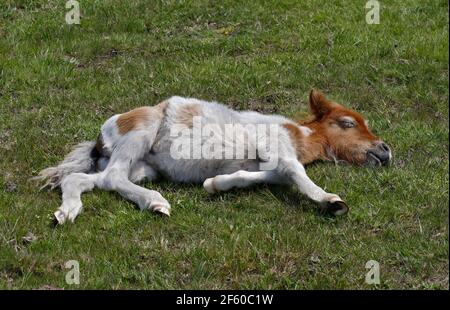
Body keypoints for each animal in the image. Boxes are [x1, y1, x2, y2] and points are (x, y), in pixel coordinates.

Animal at [35, 90, 390, 225]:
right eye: (348, 123)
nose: (385, 150)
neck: (298, 135)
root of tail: (100, 138)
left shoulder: (268, 165)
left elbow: (258, 177)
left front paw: (215, 184)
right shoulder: (276, 148)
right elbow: (298, 175)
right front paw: (332, 202)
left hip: (142, 169)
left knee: (82, 179)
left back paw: (65, 213)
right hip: (140, 133)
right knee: (112, 177)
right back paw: (156, 203)